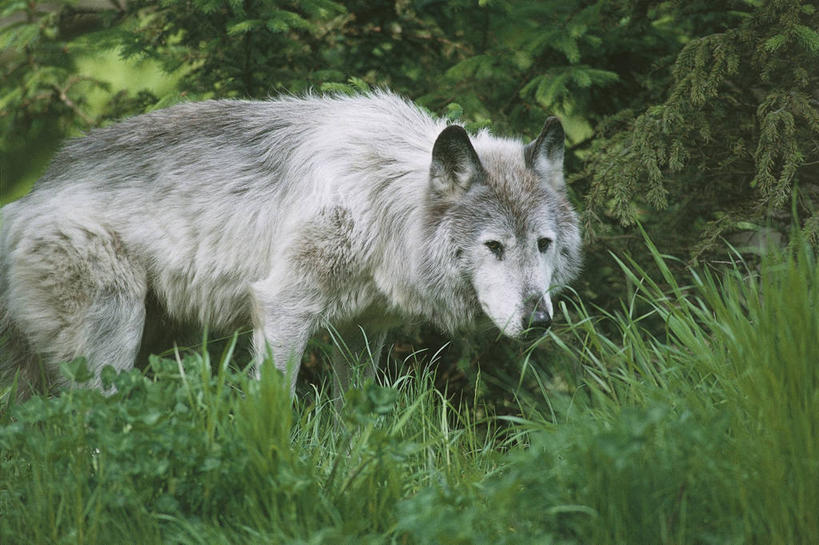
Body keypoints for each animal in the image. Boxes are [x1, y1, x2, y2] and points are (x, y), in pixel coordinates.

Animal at [3, 89, 588, 396]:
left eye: (542, 244)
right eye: (494, 247)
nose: (540, 321)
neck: (380, 204)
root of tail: (24, 200)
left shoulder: (364, 330)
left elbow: (355, 411)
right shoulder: (283, 309)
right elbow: (276, 405)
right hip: (115, 335)